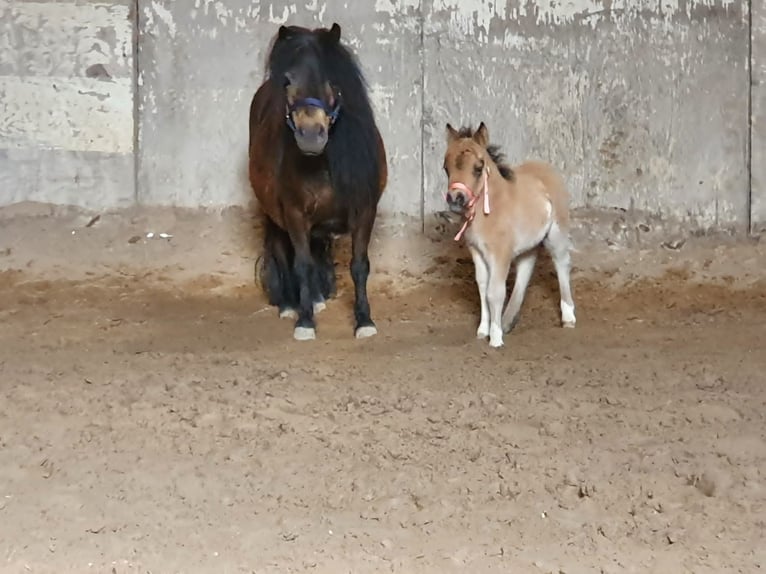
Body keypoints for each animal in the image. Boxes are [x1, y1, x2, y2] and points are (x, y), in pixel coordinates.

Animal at [249, 23, 388, 342]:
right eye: (287, 80)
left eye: (332, 78)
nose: (311, 135)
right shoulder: (294, 213)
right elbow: (301, 264)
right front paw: (305, 322)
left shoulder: (365, 211)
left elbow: (359, 266)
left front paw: (364, 322)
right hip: (274, 214)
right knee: (281, 251)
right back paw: (291, 305)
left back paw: (314, 299)